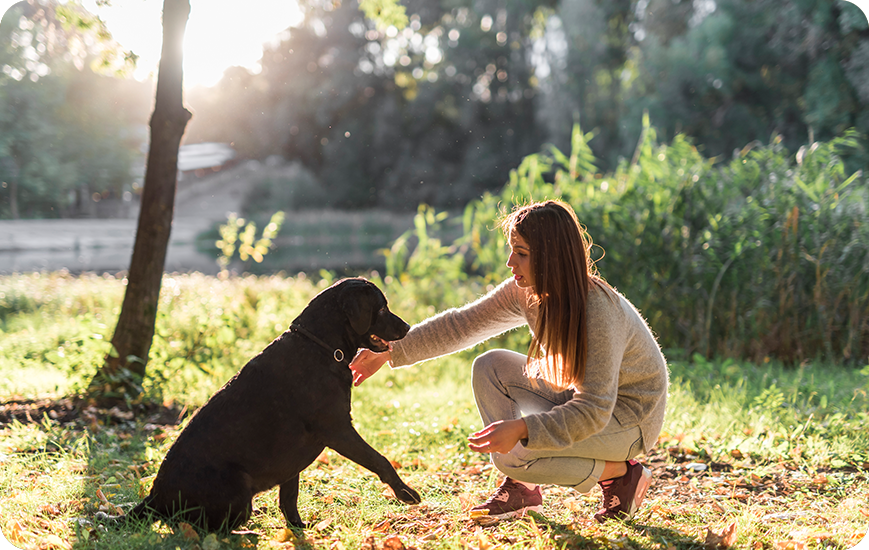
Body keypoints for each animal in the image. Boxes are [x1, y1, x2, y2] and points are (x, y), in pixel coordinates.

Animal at [119, 278, 424, 532]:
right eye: (382, 308)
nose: (408, 327)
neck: (321, 347)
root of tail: (155, 497)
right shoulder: (338, 430)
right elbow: (380, 460)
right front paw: (405, 493)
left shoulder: (294, 458)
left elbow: (289, 497)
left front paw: (298, 529)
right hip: (239, 491)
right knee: (201, 528)